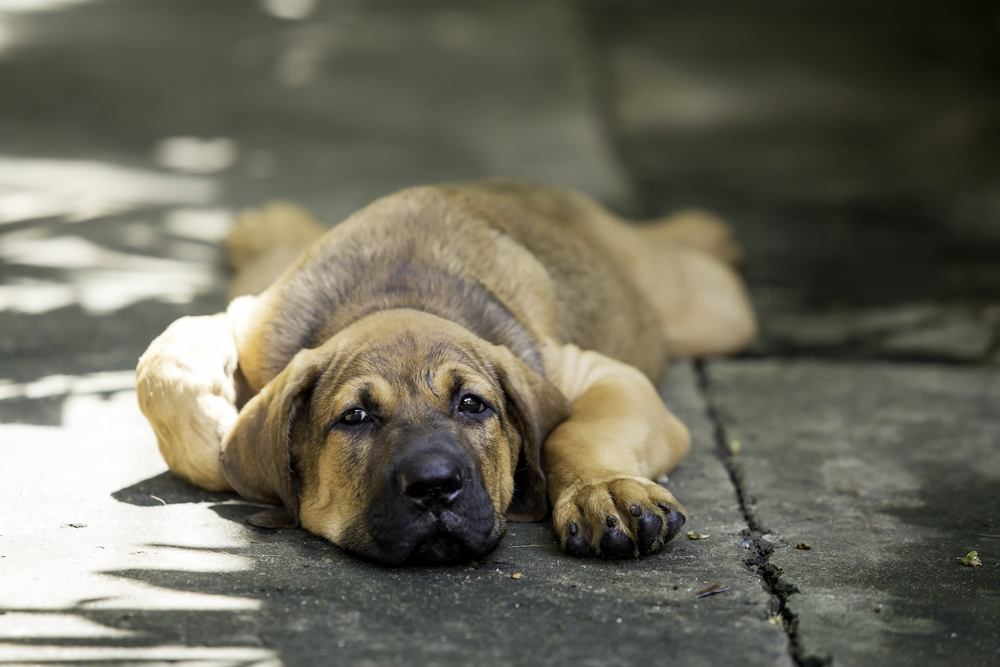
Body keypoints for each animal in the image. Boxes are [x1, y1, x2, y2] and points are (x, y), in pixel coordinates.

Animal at [137, 181, 752, 564]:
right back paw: (265, 226)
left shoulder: (599, 372)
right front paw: (216, 435)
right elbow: (164, 370)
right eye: (355, 417)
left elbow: (576, 432)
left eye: (472, 404)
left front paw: (603, 490)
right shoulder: (253, 322)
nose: (434, 487)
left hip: (709, 309)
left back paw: (710, 229)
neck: (396, 295)